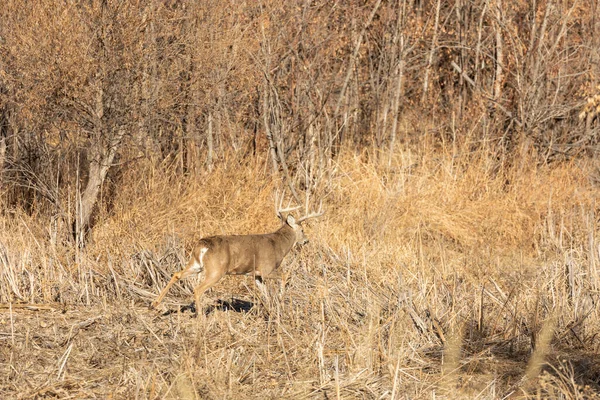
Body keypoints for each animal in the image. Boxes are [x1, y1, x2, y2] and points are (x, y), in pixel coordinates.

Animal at [151, 198, 324, 314]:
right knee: (198, 289)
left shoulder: (256, 274)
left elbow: (265, 294)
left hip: (196, 264)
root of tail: (202, 246)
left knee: (177, 274)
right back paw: (200, 317)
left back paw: (155, 304)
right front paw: (281, 301)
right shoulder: (267, 269)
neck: (279, 245)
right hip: (216, 270)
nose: (306, 241)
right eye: (302, 230)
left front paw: (270, 309)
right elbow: (285, 276)